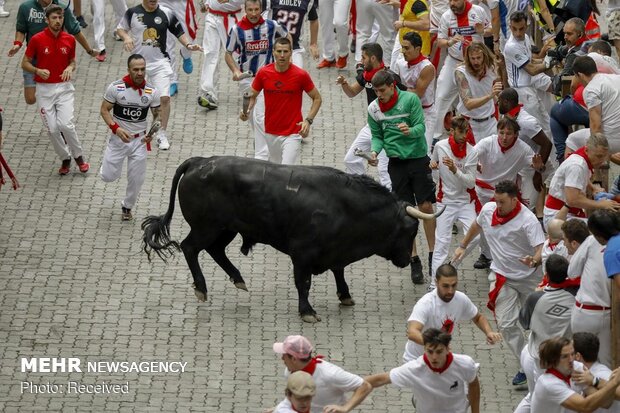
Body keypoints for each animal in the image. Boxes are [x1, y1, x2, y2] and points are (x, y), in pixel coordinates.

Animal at [142, 156, 440, 320]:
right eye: (410, 231)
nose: (405, 260)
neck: (344, 205)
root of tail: (200, 162)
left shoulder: (336, 251)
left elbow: (339, 271)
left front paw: (345, 296)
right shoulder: (303, 253)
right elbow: (303, 283)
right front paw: (307, 311)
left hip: (226, 229)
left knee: (216, 251)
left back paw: (238, 279)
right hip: (207, 227)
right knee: (190, 247)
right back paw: (202, 288)